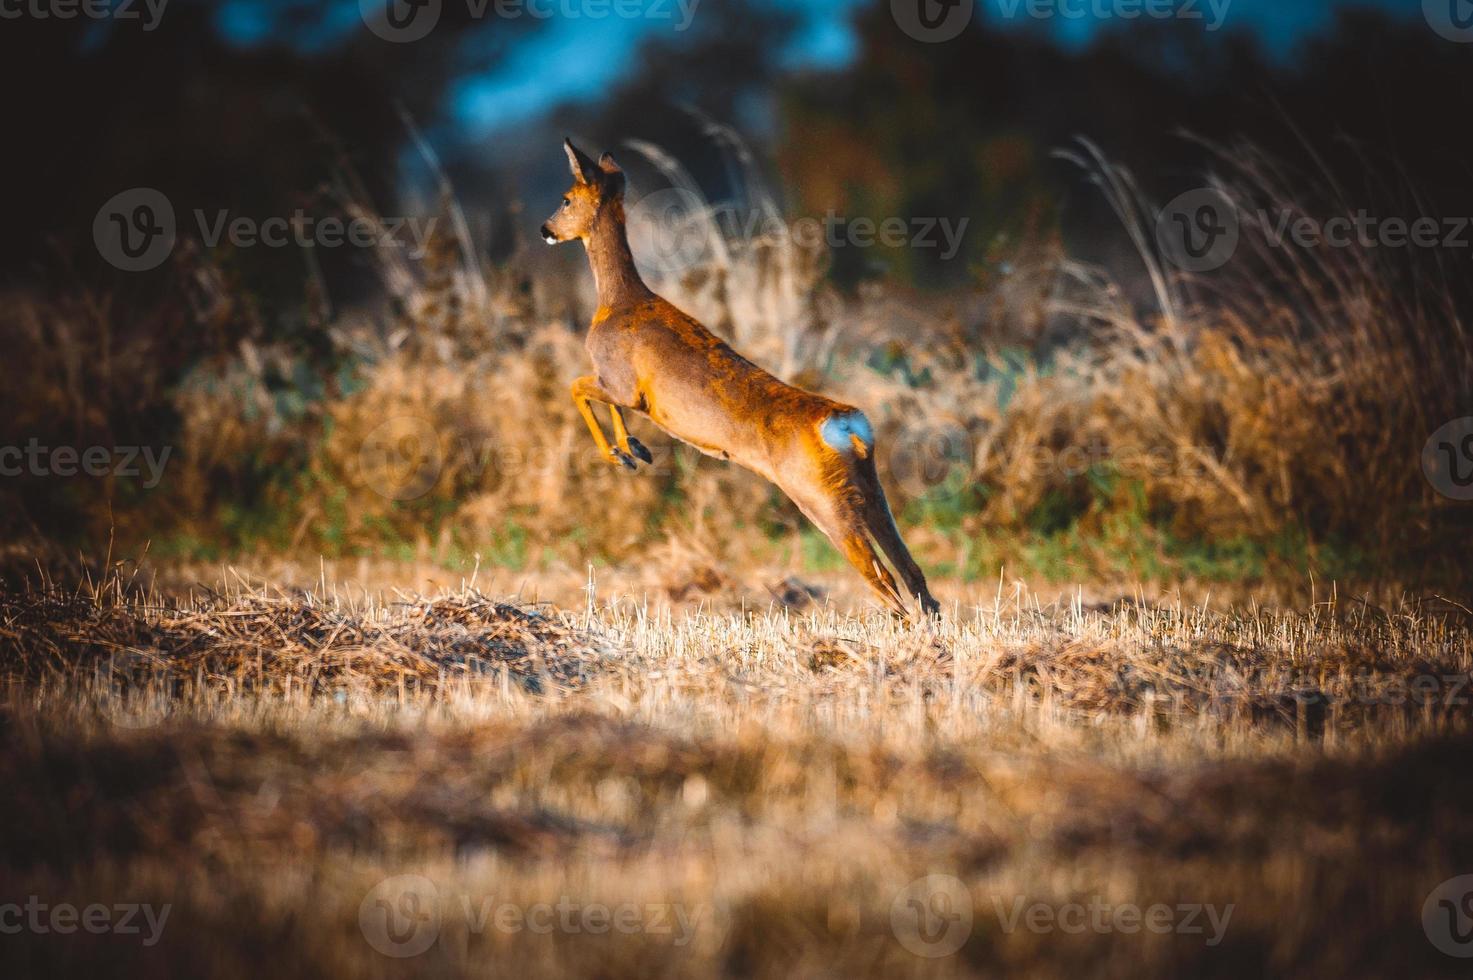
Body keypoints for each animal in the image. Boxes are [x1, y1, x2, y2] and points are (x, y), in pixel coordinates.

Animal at [542, 138, 942, 616]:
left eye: (566, 198)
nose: (545, 229)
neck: (619, 301)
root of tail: (847, 425)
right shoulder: (622, 389)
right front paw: (635, 448)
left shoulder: (621, 382)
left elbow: (577, 387)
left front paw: (621, 453)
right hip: (871, 488)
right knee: (914, 573)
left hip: (819, 498)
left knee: (883, 579)